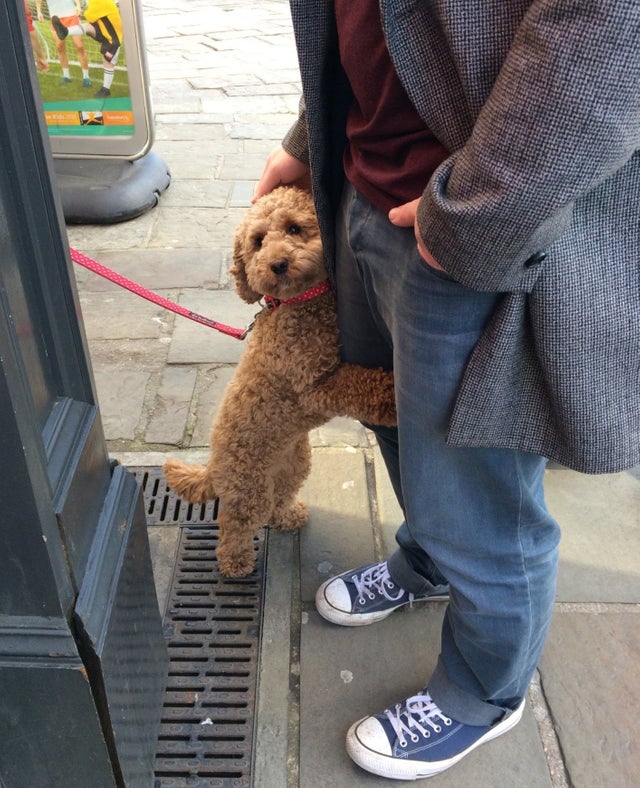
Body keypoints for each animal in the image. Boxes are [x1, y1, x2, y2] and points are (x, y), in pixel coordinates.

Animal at [164, 188, 396, 576]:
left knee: (279, 499)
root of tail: (212, 466)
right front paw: (392, 395)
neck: (297, 305)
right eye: (258, 241)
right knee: (236, 524)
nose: (277, 264)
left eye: (293, 228)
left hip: (294, 465)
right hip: (248, 488)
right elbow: (358, 383)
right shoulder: (313, 387)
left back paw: (288, 516)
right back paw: (236, 563)